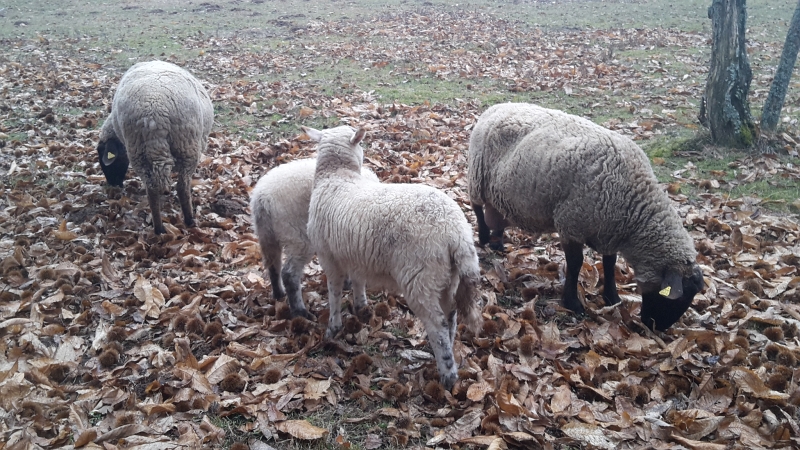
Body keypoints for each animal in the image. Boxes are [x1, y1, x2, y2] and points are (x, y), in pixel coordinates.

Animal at [95, 60, 214, 234]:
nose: (113, 184)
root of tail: (154, 116)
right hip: (187, 146)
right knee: (182, 186)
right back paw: (189, 220)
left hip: (139, 150)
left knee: (151, 189)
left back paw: (159, 228)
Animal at [252, 158, 380, 320]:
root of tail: (262, 199)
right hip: (297, 235)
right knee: (289, 274)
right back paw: (300, 311)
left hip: (268, 236)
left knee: (274, 266)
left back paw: (279, 294)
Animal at [304, 125, 482, 388]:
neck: (337, 176)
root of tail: (457, 232)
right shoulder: (355, 255)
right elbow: (358, 281)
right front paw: (361, 307)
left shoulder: (328, 256)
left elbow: (334, 292)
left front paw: (333, 329)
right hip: (447, 277)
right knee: (451, 316)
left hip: (421, 276)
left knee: (437, 324)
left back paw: (447, 374)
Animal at [468, 103, 708, 332]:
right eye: (681, 296)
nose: (656, 327)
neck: (634, 211)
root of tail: (497, 106)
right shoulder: (571, 224)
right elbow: (575, 264)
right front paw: (572, 303)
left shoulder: (609, 231)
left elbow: (610, 264)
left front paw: (612, 297)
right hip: (477, 177)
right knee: (478, 208)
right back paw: (484, 237)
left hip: (497, 188)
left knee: (496, 211)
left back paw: (497, 242)